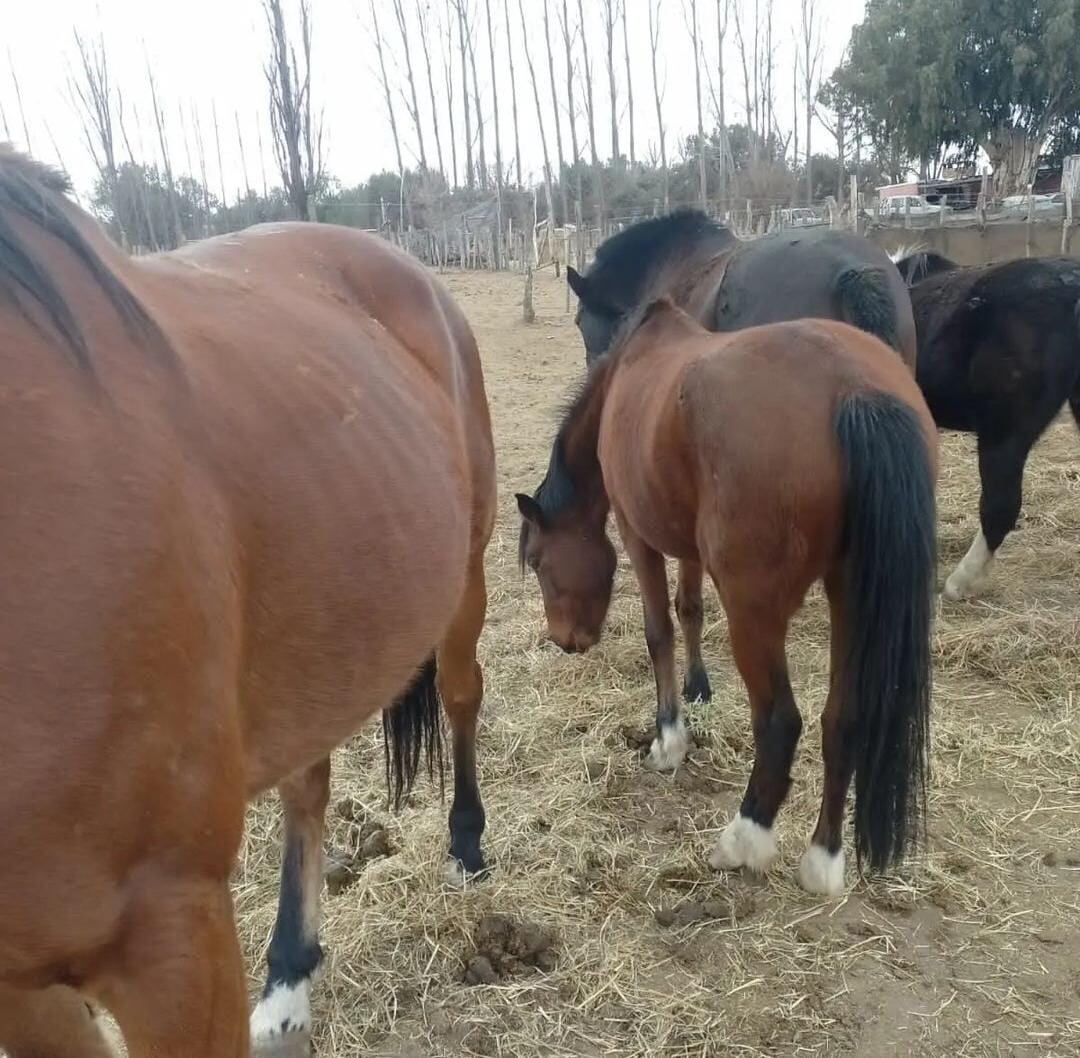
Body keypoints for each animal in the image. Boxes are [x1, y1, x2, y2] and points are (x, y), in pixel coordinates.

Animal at [0, 148, 494, 1058]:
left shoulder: (171, 936)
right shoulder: (24, 983)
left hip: (464, 573)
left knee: (459, 693)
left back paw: (466, 846)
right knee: (308, 782)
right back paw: (291, 974)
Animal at [516, 302, 937, 898]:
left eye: (537, 562)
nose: (564, 639)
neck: (630, 368)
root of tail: (855, 388)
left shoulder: (638, 536)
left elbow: (659, 632)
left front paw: (669, 738)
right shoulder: (688, 546)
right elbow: (690, 610)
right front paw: (699, 690)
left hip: (754, 613)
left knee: (781, 723)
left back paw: (744, 839)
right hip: (850, 598)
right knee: (843, 720)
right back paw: (823, 859)